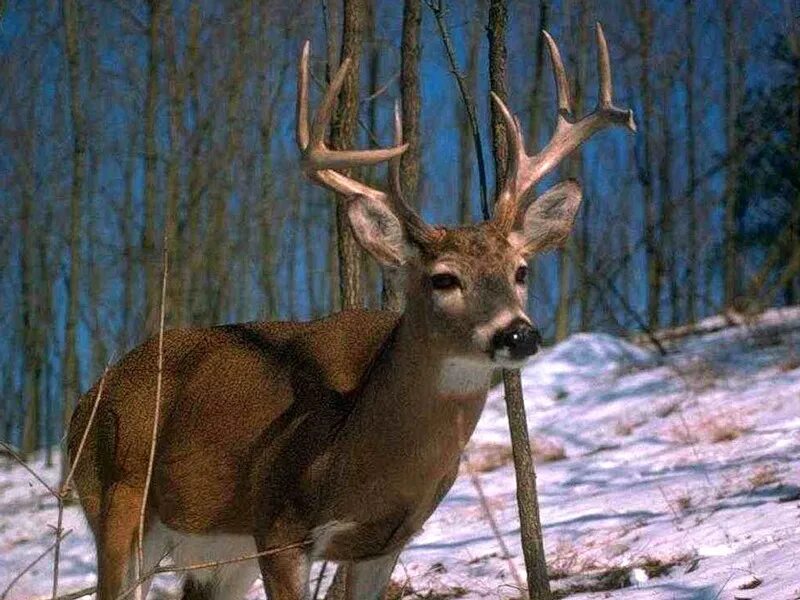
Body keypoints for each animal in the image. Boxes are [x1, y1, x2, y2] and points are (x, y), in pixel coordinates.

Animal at [65, 23, 636, 600]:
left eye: (521, 270)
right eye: (443, 278)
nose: (518, 334)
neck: (361, 461)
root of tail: (88, 397)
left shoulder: (384, 542)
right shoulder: (278, 526)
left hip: (221, 554)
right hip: (118, 505)